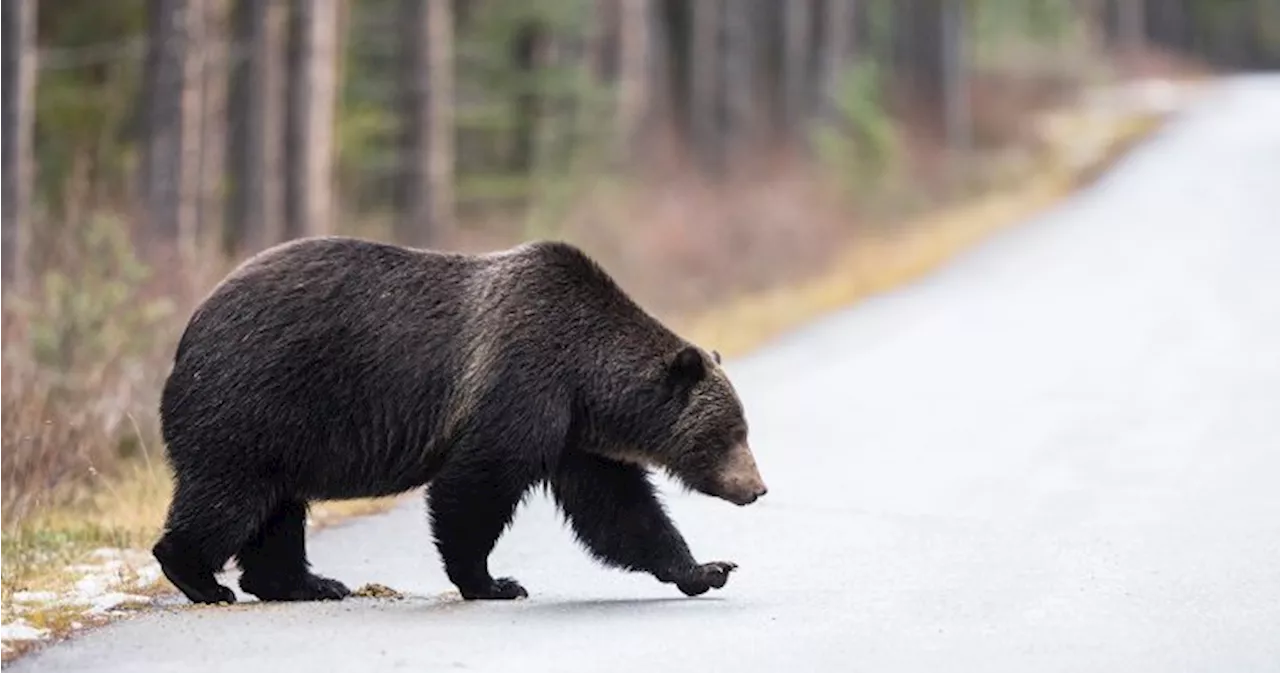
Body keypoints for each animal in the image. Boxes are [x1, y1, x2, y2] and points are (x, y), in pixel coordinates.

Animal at [149, 236, 768, 606]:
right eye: (728, 433)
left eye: (743, 428)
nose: (757, 488)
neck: (585, 378)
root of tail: (189, 329)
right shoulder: (520, 384)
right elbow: (476, 484)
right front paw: (494, 581)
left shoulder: (574, 434)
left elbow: (619, 509)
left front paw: (707, 568)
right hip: (255, 400)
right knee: (231, 496)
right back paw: (200, 577)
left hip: (281, 430)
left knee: (276, 509)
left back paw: (307, 582)